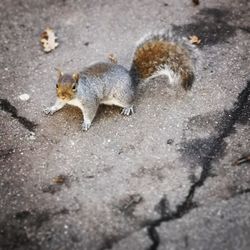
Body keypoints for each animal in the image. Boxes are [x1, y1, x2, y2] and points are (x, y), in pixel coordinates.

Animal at [44, 30, 198, 131]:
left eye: (74, 87)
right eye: (56, 85)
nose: (63, 95)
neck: (76, 96)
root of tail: (131, 79)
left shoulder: (90, 100)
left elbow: (90, 112)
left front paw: (86, 123)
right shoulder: (62, 100)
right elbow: (58, 104)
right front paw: (51, 108)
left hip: (120, 96)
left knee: (131, 100)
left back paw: (128, 108)